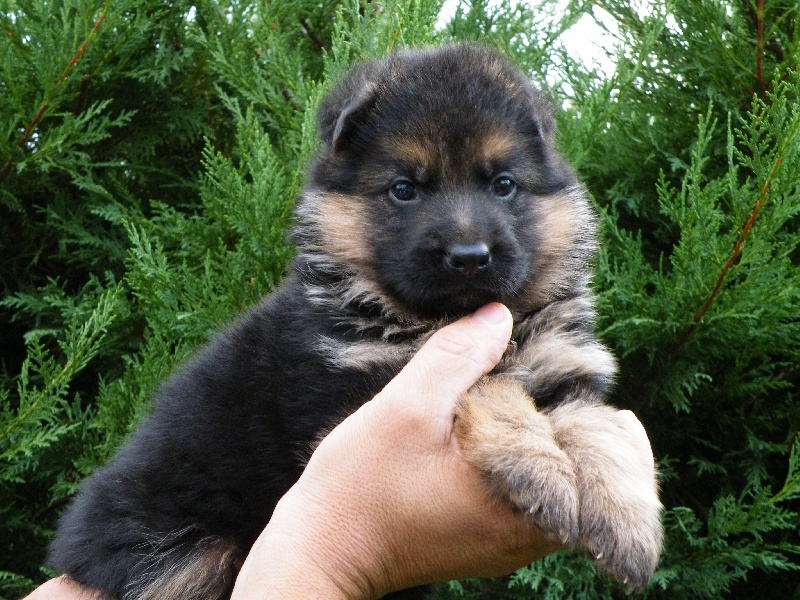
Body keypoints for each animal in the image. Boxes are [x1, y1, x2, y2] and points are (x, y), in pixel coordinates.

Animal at [48, 45, 663, 599]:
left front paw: (627, 522)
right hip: (186, 555)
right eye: (404, 189)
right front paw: (539, 470)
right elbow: (490, 386)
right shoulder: (364, 386)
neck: (429, 314)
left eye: (503, 184)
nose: (469, 256)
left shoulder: (564, 368)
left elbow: (599, 429)